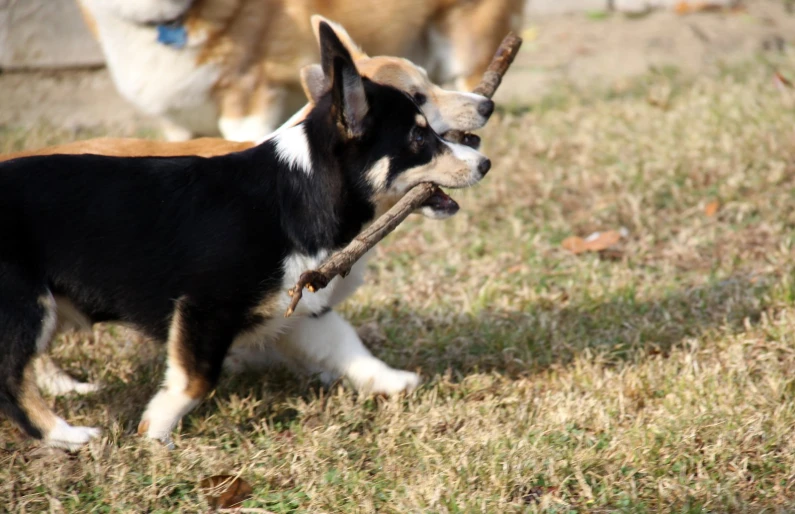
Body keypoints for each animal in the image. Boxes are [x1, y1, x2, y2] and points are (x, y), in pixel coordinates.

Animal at [0, 22, 492, 446]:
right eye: (418, 137)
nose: (485, 163)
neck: (300, 187)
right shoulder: (205, 307)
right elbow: (196, 379)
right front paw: (155, 433)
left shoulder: (298, 308)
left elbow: (346, 346)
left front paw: (393, 381)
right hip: (27, 304)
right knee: (11, 378)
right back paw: (67, 436)